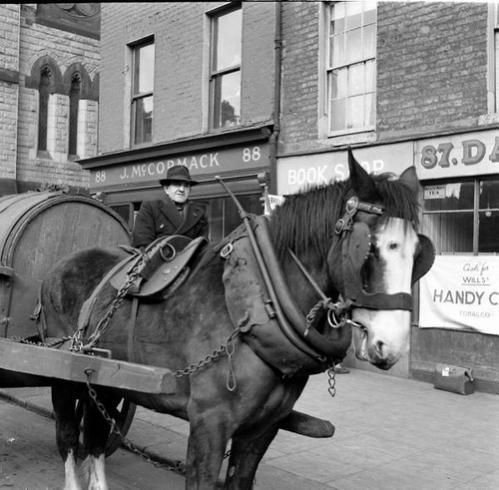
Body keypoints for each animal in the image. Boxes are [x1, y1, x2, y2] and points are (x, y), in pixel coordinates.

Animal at [40, 150, 434, 490]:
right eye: (369, 248)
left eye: (420, 254)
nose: (391, 344)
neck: (259, 303)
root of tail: (61, 264)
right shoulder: (209, 423)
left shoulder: (262, 428)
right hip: (63, 373)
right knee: (69, 437)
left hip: (105, 379)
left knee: (95, 435)